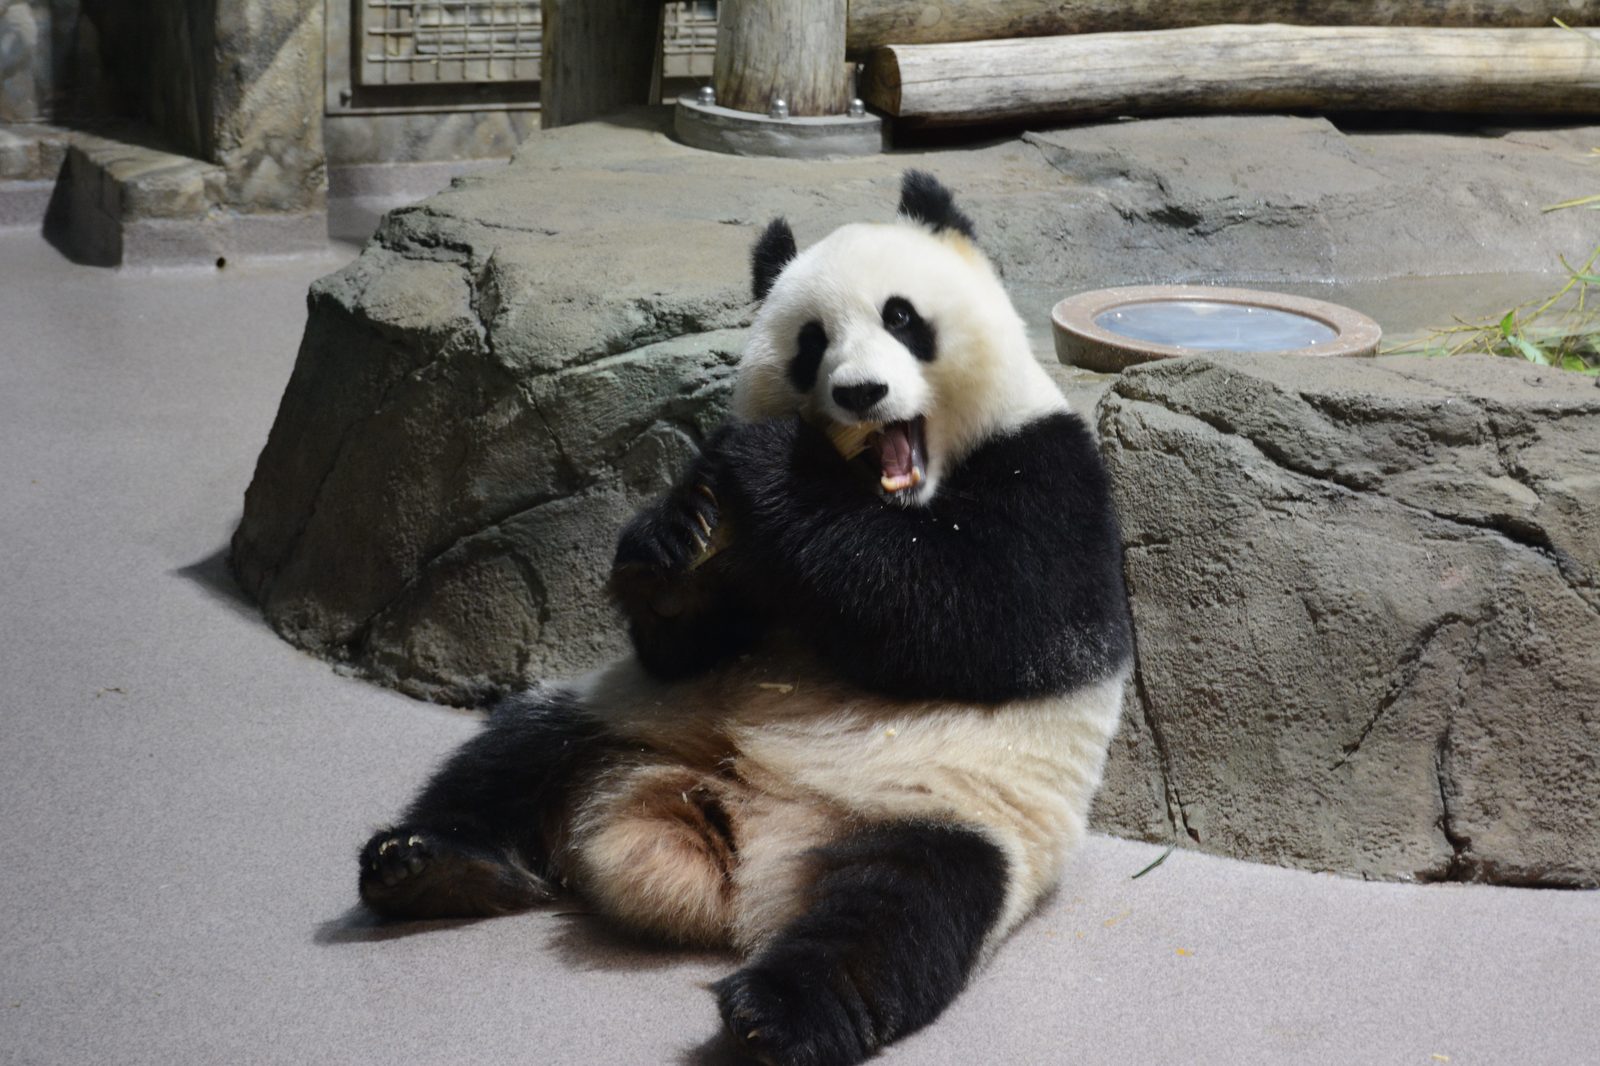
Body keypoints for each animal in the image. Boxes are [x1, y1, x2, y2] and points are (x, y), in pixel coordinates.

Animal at [357, 171, 1134, 1066]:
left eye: (902, 317)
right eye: (811, 342)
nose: (860, 393)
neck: (892, 494)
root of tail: (742, 853)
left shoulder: (1053, 475)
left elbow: (991, 615)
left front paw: (772, 464)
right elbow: (687, 641)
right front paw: (670, 545)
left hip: (952, 813)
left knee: (897, 911)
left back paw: (777, 1013)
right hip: (628, 719)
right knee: (509, 756)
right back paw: (427, 866)